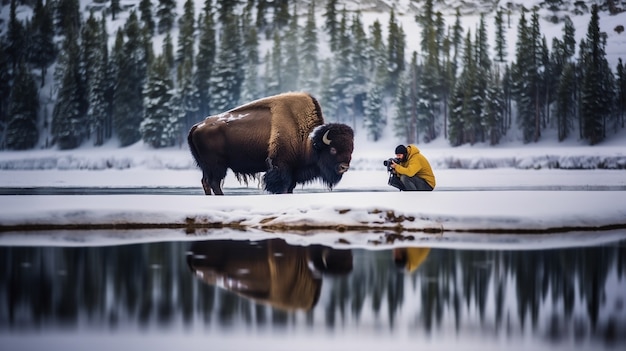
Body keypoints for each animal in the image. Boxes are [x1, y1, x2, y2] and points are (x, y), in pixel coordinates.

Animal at [185, 92, 354, 195]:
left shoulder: (293, 171)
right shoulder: (281, 167)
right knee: (214, 182)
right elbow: (282, 186)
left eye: (350, 150)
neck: (307, 139)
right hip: (217, 166)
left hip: (207, 167)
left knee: (206, 182)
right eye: (332, 149)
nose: (344, 167)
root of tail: (197, 126)